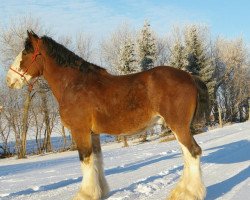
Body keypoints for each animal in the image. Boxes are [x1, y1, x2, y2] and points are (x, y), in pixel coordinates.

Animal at [6, 30, 209, 199]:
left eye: (26, 52)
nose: (9, 80)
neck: (74, 84)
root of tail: (189, 76)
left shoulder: (80, 131)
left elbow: (86, 160)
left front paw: (85, 195)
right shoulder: (93, 134)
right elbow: (97, 161)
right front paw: (99, 192)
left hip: (179, 126)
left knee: (193, 153)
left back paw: (188, 194)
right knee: (187, 154)